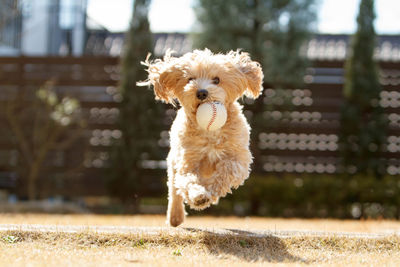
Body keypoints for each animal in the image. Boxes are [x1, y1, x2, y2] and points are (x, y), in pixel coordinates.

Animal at [139, 49, 264, 227]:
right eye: (190, 79)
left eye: (217, 80)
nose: (202, 92)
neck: (210, 132)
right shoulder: (188, 160)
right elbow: (188, 180)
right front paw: (198, 196)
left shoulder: (238, 158)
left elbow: (226, 172)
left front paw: (211, 190)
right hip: (173, 161)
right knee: (174, 189)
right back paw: (175, 216)